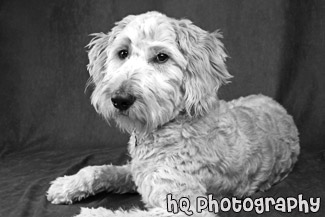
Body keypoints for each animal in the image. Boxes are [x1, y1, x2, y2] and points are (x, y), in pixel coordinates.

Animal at [45, 11, 298, 217]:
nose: (120, 99)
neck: (169, 125)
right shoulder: (135, 171)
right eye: (123, 53)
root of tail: (277, 105)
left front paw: (92, 213)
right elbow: (99, 169)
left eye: (161, 57)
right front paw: (67, 185)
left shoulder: (186, 206)